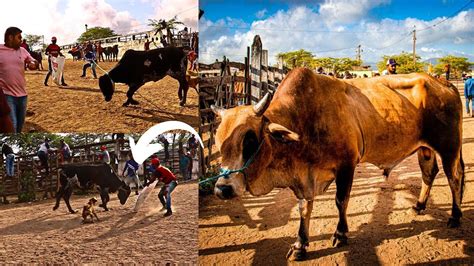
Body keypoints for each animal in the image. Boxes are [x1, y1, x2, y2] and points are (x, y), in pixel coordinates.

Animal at [213, 67, 464, 260]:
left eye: (249, 140)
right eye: (218, 140)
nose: (222, 189)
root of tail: (443, 82)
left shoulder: (346, 165)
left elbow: (341, 201)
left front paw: (341, 234)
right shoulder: (304, 179)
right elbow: (304, 208)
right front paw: (300, 245)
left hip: (449, 147)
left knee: (454, 177)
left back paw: (455, 216)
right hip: (425, 148)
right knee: (429, 173)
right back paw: (419, 206)